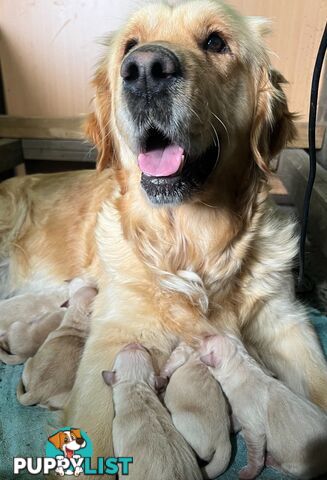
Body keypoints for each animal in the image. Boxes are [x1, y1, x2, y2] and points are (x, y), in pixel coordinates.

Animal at [200, 334, 327, 480]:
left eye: (206, 340)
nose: (204, 336)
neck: (240, 365)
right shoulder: (240, 414)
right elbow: (234, 420)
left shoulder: (254, 429)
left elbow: (255, 456)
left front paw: (247, 474)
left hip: (299, 466)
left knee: (289, 470)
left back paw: (271, 460)